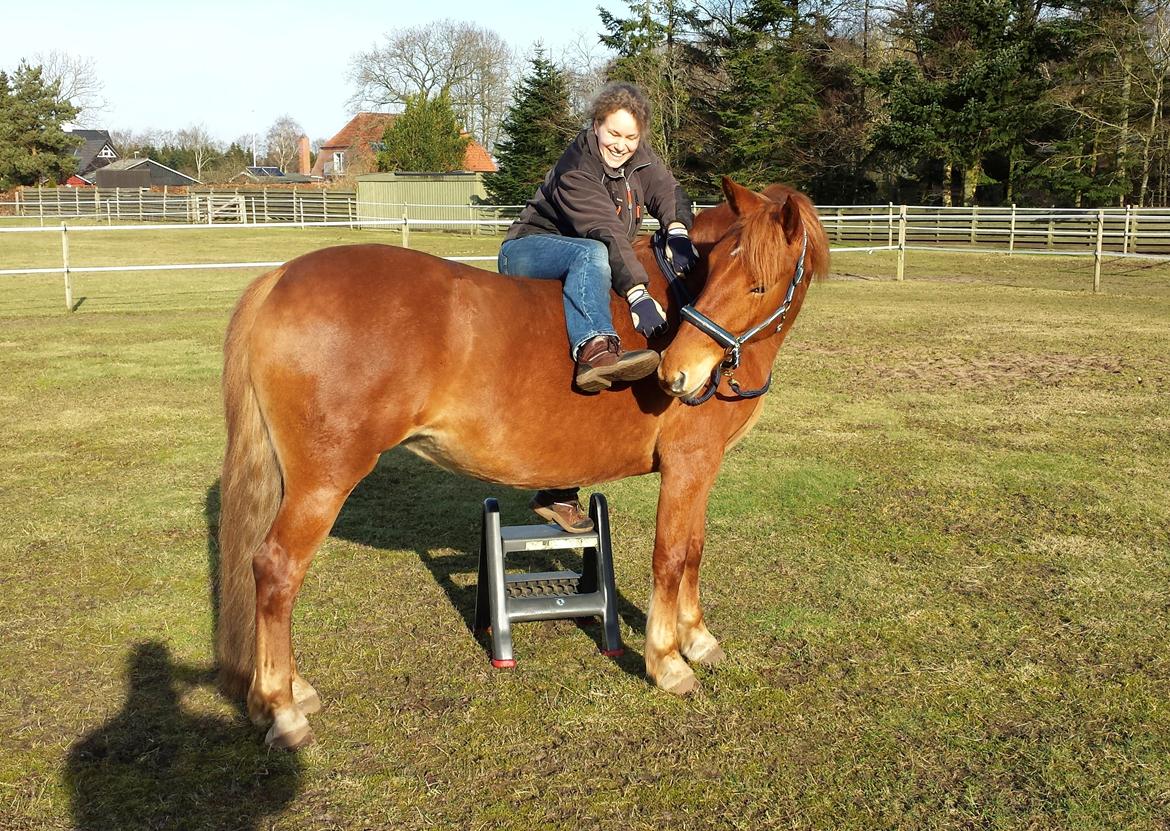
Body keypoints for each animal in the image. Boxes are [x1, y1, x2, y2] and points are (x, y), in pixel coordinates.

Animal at [215, 175, 828, 749]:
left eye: (757, 282)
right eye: (716, 269)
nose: (675, 372)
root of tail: (280, 279)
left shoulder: (702, 469)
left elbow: (695, 550)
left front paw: (697, 638)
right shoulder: (688, 464)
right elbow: (671, 556)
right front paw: (668, 661)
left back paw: (286, 693)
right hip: (323, 482)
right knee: (276, 571)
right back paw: (283, 709)